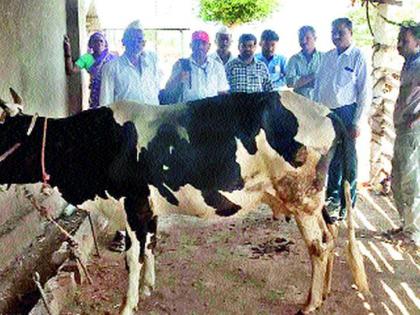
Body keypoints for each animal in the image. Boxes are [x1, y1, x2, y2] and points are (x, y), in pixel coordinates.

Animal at [0, 90, 366, 314]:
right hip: (314, 200)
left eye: (9, 137)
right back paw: (322, 294)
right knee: (331, 236)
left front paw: (128, 303)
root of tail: (326, 111)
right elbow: (151, 245)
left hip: (301, 197)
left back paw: (310, 303)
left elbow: (132, 256)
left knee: (318, 246)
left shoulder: (132, 203)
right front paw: (148, 287)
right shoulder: (148, 207)